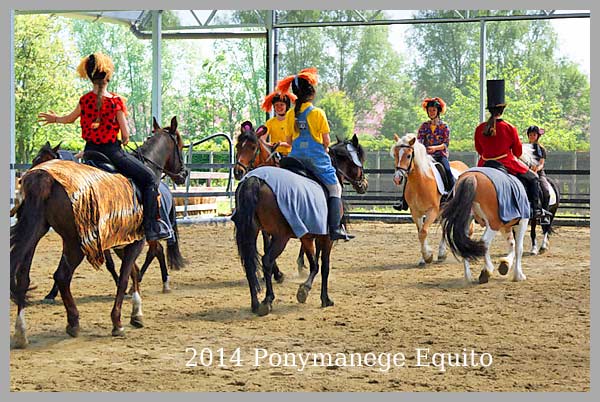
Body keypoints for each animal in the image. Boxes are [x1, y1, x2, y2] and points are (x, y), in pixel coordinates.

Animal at [233, 133, 366, 316]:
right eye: (359, 158)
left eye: (252, 147)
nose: (364, 184)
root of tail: (254, 180)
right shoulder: (326, 238)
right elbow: (324, 266)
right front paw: (325, 298)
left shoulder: (307, 236)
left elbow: (314, 264)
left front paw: (304, 289)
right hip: (281, 237)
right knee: (266, 260)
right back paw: (268, 299)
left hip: (251, 232)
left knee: (249, 264)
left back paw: (255, 303)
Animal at [392, 133, 472, 266]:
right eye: (395, 154)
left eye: (408, 155)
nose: (398, 178)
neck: (420, 182)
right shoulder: (416, 212)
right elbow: (420, 233)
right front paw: (424, 258)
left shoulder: (432, 211)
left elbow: (423, 232)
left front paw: (428, 256)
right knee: (444, 226)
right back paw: (442, 254)